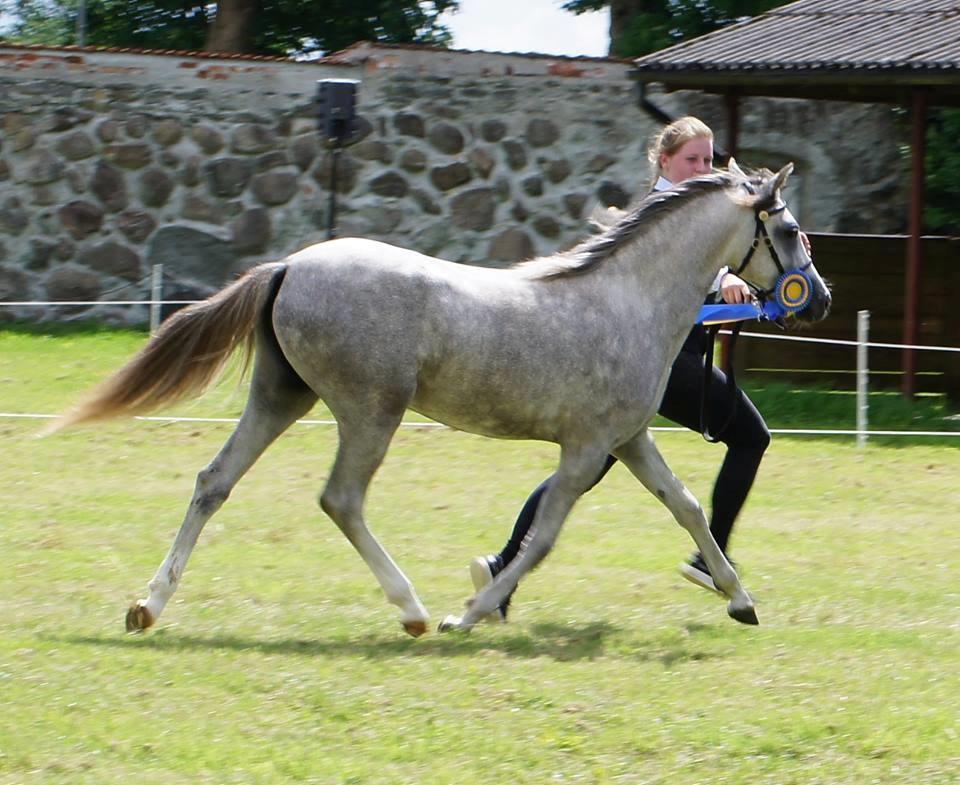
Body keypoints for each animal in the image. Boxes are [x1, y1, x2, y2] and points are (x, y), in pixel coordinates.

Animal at [48, 161, 831, 637]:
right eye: (790, 230)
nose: (818, 299)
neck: (627, 301)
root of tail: (290, 265)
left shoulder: (628, 440)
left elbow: (687, 506)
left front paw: (740, 599)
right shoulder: (584, 450)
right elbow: (545, 536)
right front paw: (470, 613)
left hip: (282, 396)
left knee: (214, 481)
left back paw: (146, 606)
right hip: (371, 410)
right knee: (340, 499)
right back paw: (415, 611)